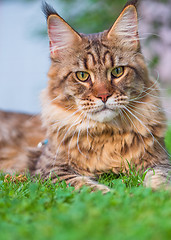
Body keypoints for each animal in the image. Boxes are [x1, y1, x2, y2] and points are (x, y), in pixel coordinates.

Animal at [0, 0, 170, 192]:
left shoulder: (160, 161)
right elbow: (88, 186)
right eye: (82, 75)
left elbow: (159, 177)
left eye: (117, 71)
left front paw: (159, 193)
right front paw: (117, 194)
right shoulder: (50, 172)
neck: (107, 136)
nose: (104, 96)